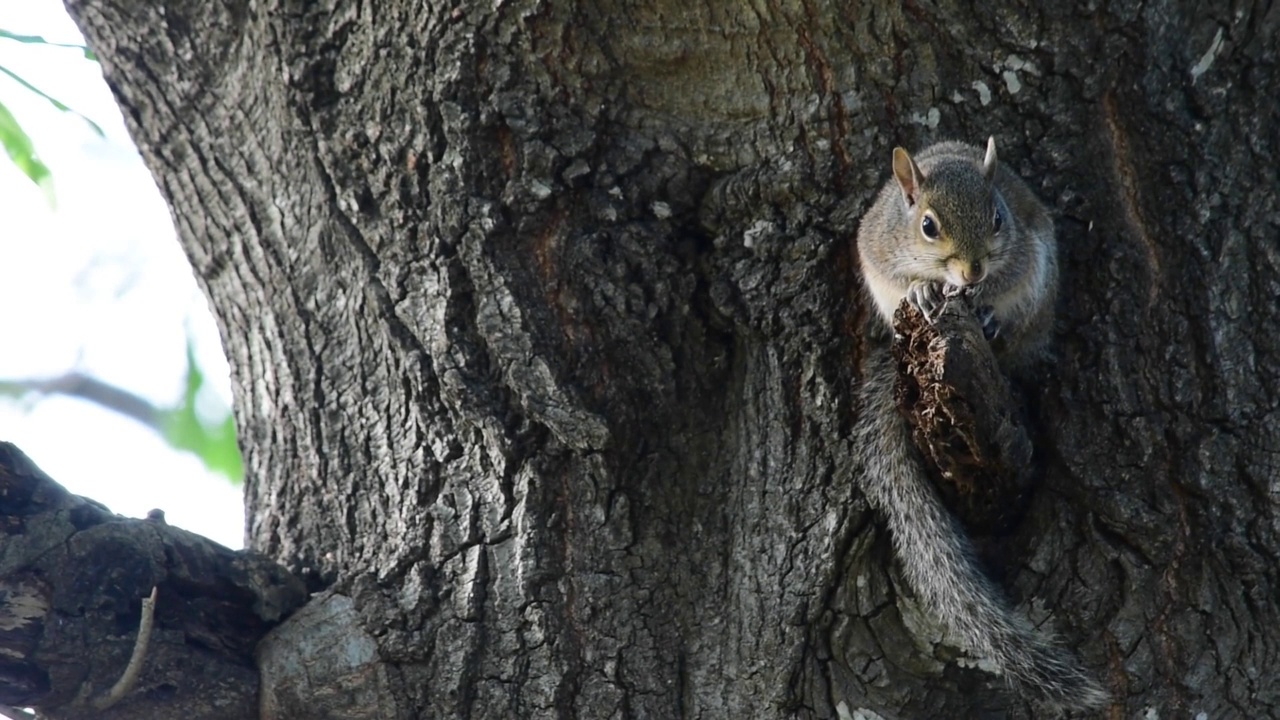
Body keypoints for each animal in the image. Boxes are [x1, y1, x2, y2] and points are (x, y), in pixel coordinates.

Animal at [849, 137, 1111, 707]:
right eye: (927, 225)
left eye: (997, 218)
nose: (971, 273)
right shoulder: (878, 249)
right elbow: (902, 278)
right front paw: (921, 291)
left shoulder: (1023, 245)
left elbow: (1007, 274)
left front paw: (984, 300)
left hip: (1036, 305)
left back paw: (991, 324)